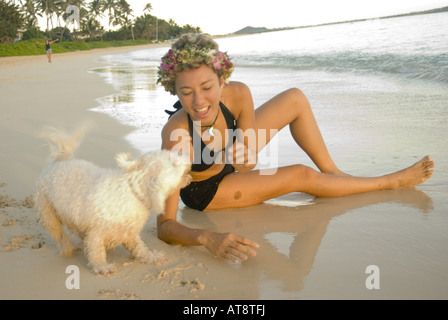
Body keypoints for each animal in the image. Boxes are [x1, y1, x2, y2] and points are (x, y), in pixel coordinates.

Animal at [33, 125, 191, 276]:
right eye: (174, 162)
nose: (188, 154)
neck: (133, 192)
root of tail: (57, 163)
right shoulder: (96, 233)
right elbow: (96, 251)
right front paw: (102, 267)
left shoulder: (130, 233)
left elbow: (139, 248)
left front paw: (152, 257)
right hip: (47, 210)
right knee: (57, 232)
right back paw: (66, 247)